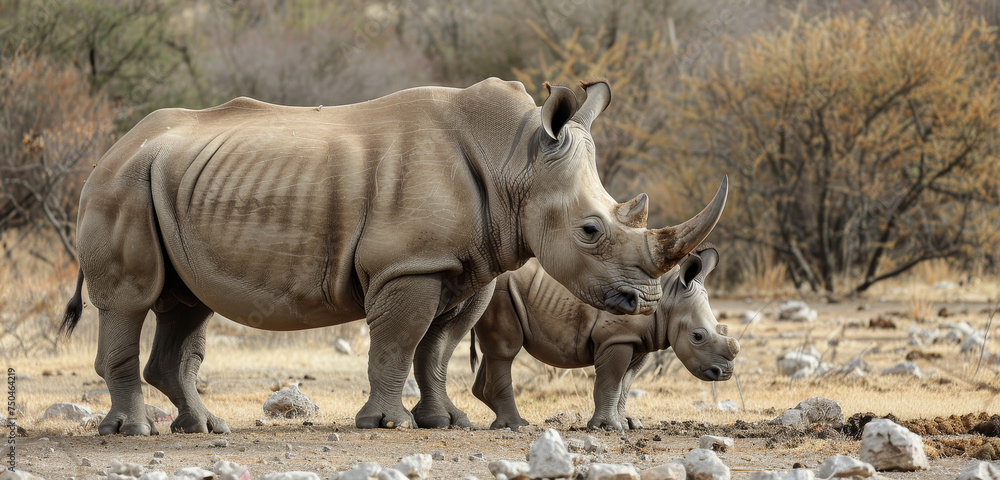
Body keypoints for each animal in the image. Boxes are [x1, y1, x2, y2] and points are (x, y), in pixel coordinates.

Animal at [471, 244, 739, 431]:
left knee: (492, 353)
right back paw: (516, 426)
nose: (724, 373)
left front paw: (629, 423)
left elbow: (626, 382)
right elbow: (611, 380)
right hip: (500, 292)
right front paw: (607, 427)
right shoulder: (615, 338)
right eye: (697, 336)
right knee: (506, 351)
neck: (668, 298)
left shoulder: (637, 340)